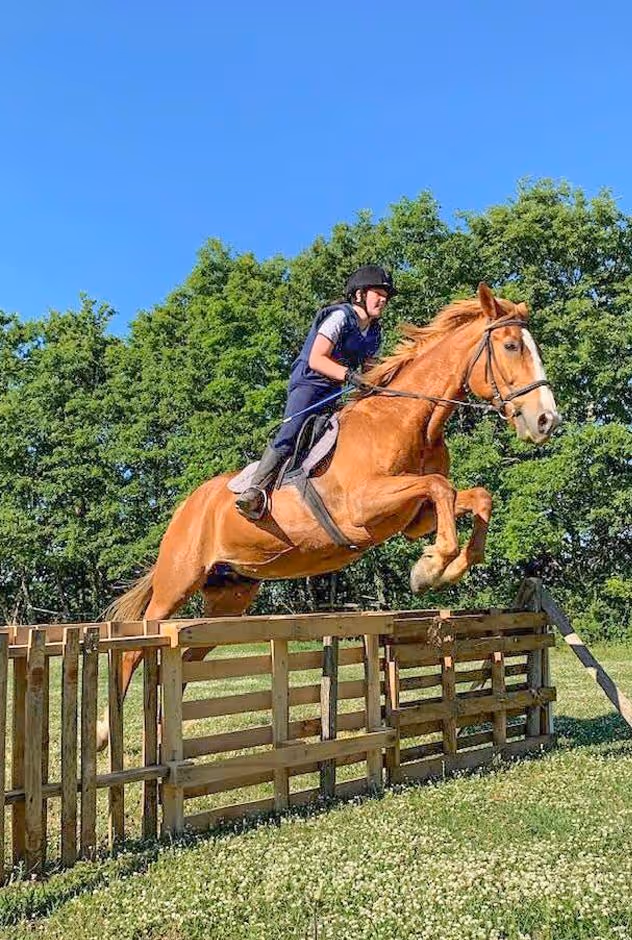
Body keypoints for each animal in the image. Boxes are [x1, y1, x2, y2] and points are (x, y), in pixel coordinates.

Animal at [98, 283, 560, 748]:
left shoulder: (415, 519)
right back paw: (105, 732)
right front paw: (429, 568)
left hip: (228, 598)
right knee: (135, 646)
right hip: (177, 582)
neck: (409, 420)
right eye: (511, 345)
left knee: (187, 656)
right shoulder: (362, 507)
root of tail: (185, 507)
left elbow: (476, 497)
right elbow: (440, 487)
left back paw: (159, 724)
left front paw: (447, 567)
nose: (547, 421)